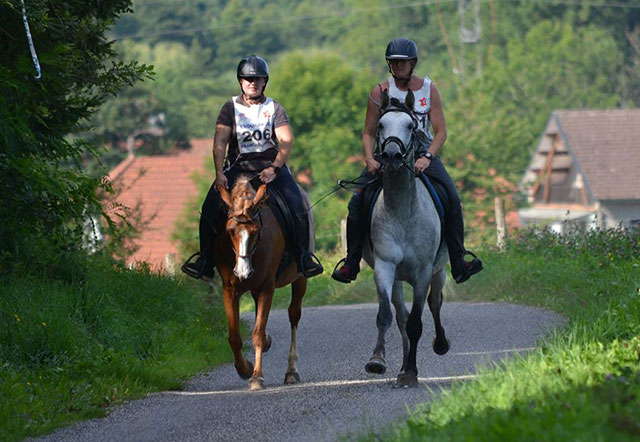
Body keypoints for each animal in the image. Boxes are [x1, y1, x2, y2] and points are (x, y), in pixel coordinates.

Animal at [216, 176, 309, 391]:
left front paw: (257, 377)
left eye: (256, 231)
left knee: (294, 314)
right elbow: (234, 336)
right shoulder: (229, 289)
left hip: (299, 279)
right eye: (230, 231)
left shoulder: (267, 287)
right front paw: (245, 369)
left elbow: (257, 334)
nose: (243, 272)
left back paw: (291, 371)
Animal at [362, 89, 450, 387]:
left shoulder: (423, 271)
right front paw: (378, 360)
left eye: (411, 125)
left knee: (435, 304)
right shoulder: (385, 266)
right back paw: (400, 365)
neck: (403, 212)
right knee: (400, 316)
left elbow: (416, 322)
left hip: (439, 270)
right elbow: (386, 316)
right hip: (399, 279)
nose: (391, 156)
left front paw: (411, 372)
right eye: (380, 125)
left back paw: (440, 344)